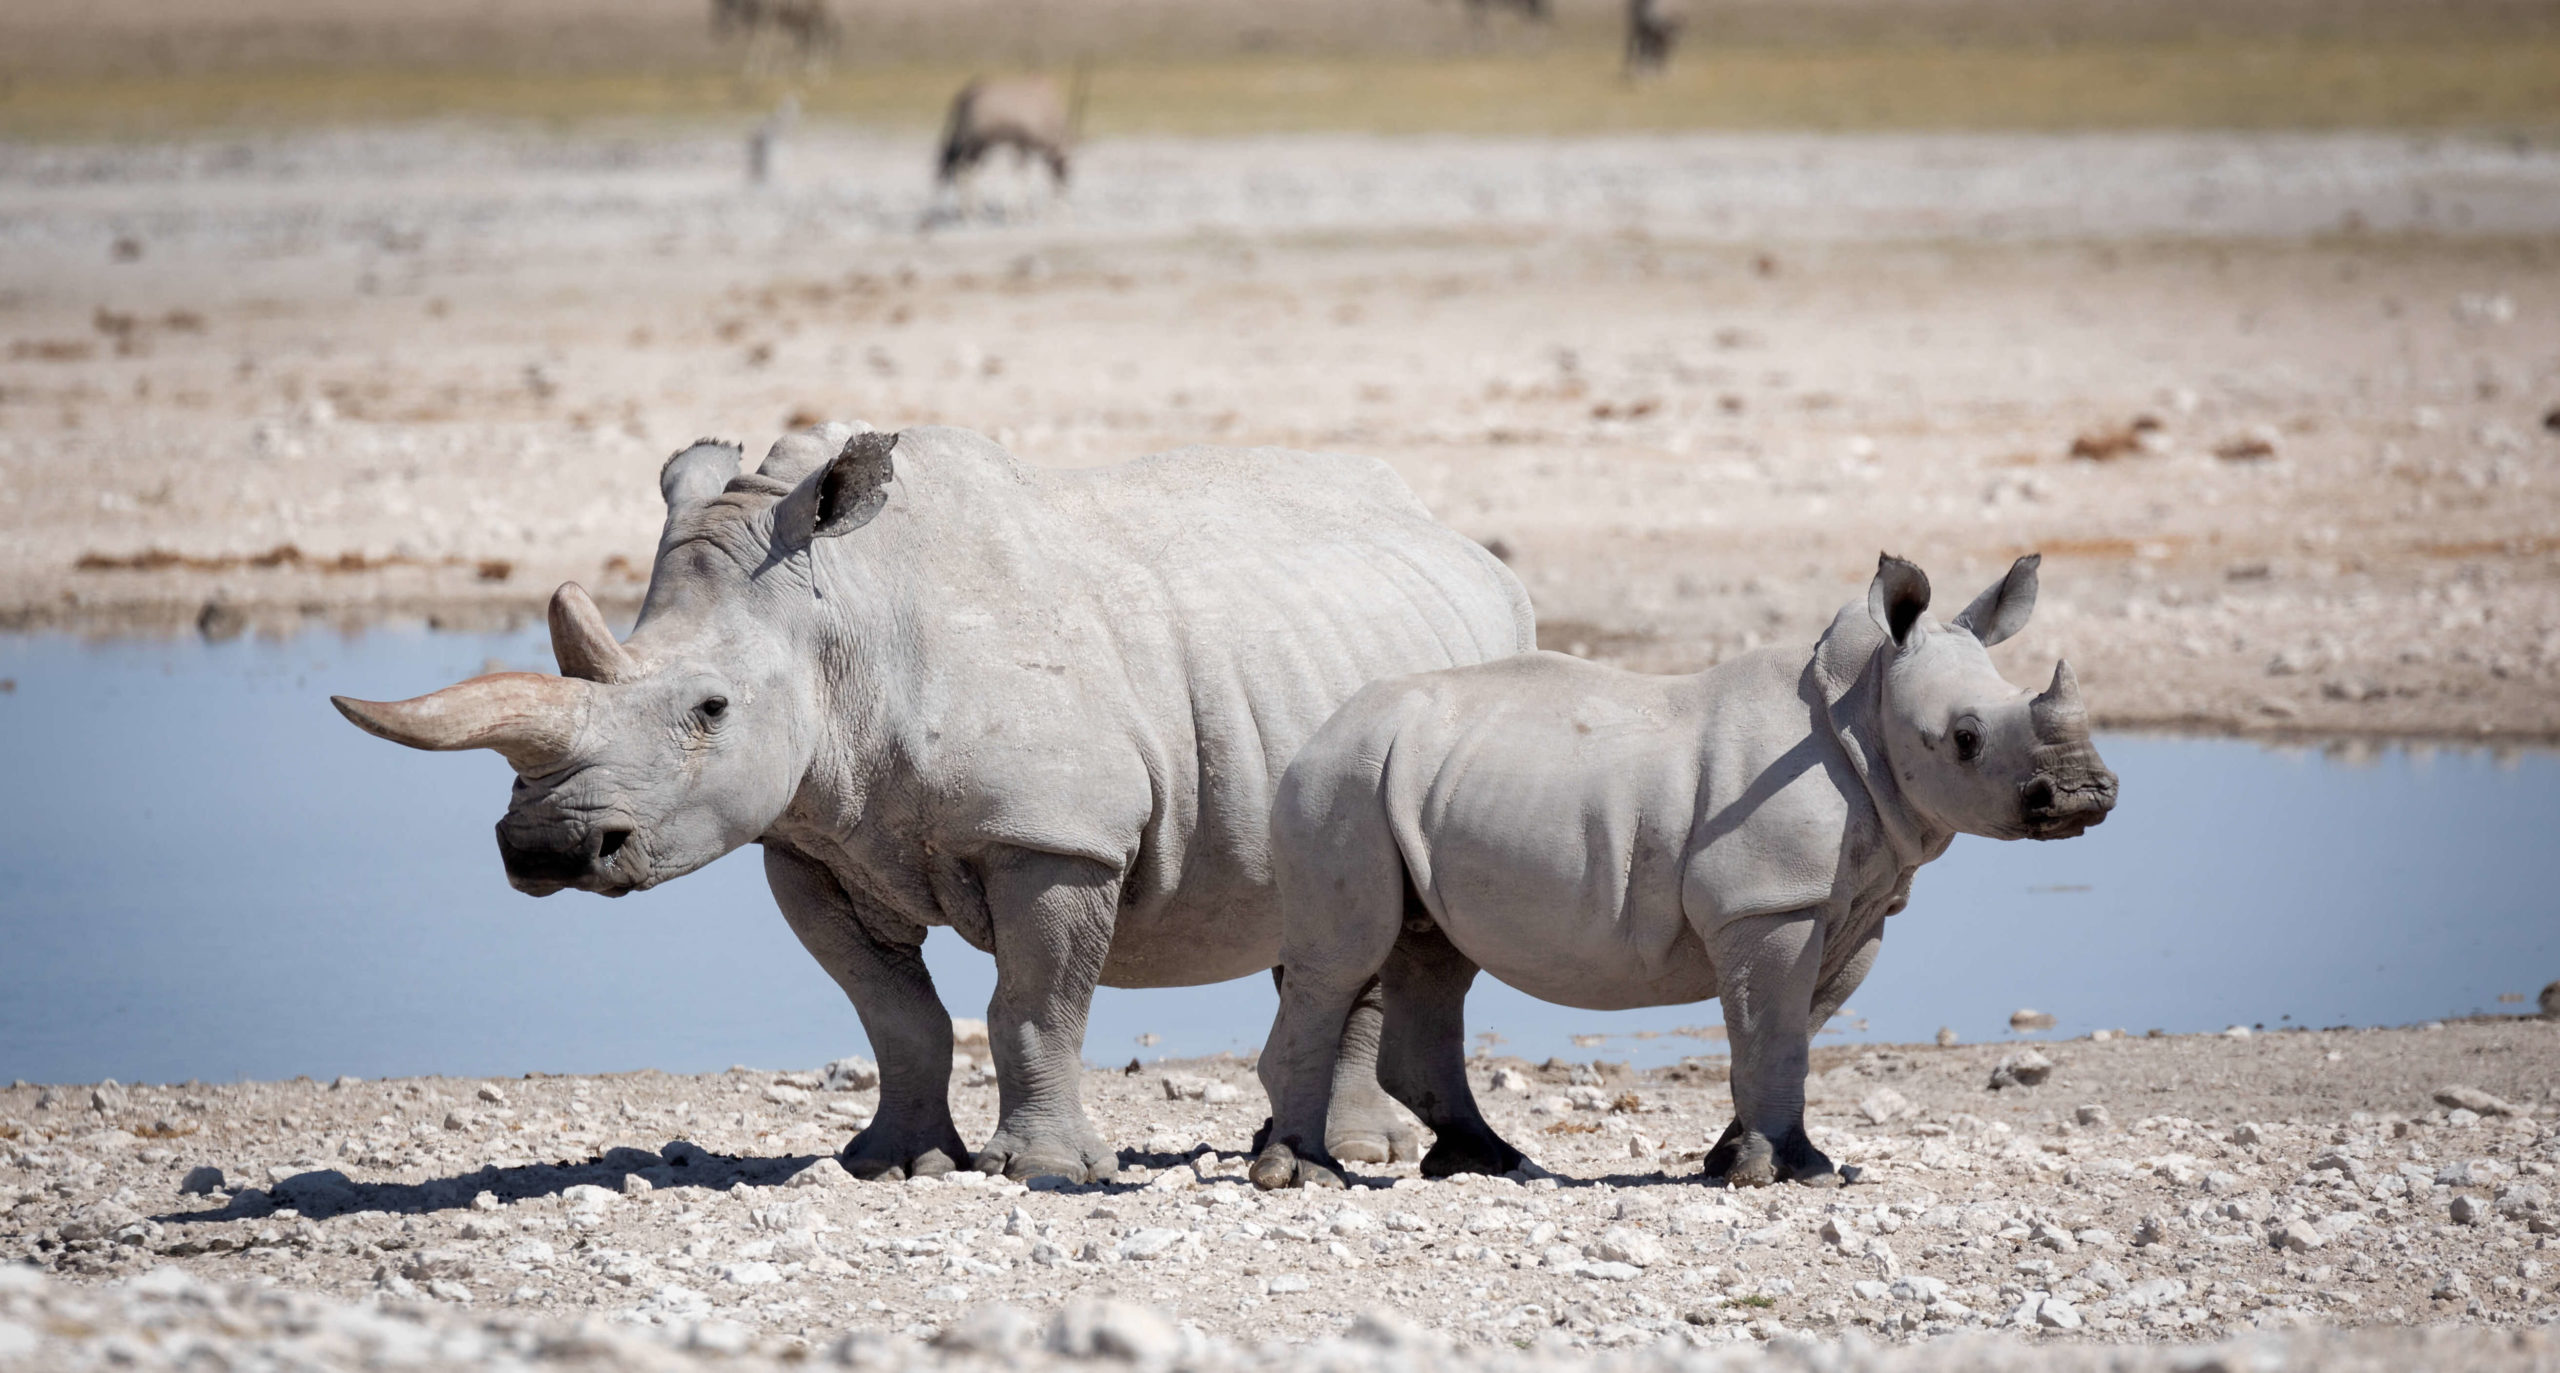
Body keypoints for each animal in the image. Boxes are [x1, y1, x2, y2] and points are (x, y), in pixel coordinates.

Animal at [340, 422, 1536, 1173]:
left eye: (711, 708)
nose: (543, 846)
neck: (838, 623)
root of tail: (1463, 543)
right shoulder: (812, 841)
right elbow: (894, 1013)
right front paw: (892, 1161)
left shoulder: (1055, 836)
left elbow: (1034, 1003)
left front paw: (1042, 1170)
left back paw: (1364, 1152)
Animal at [1254, 553, 2119, 1183]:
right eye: (1967, 738)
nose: (2088, 792)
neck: (1867, 713)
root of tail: (1318, 729)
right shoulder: (1766, 901)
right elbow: (1776, 1029)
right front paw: (1779, 1172)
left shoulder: (1856, 902)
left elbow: (1795, 1026)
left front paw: (1751, 1158)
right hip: (1341, 780)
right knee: (1344, 957)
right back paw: (1305, 1173)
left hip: (1402, 781)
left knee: (1433, 956)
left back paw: (1492, 1162)